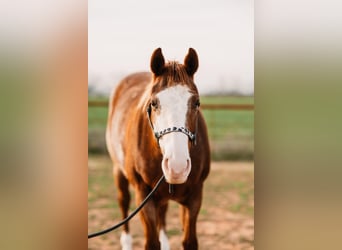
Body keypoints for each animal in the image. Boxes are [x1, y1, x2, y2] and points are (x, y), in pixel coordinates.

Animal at [105, 47, 210, 249]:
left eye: (197, 103)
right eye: (154, 103)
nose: (177, 167)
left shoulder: (195, 197)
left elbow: (189, 241)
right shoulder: (144, 196)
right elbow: (151, 243)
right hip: (118, 171)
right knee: (123, 202)